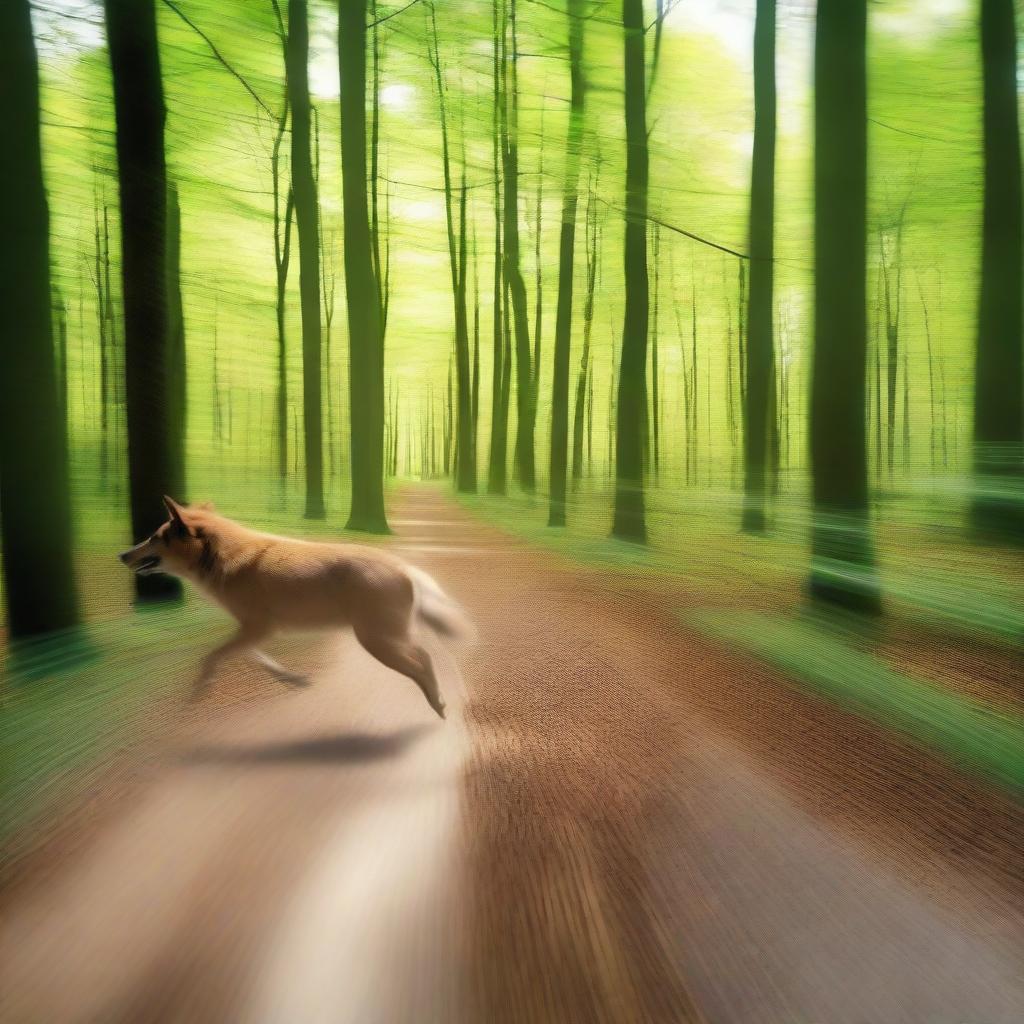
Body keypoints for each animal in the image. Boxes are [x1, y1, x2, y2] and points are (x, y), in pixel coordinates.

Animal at [118, 499, 468, 716]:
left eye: (154, 537)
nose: (122, 554)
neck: (220, 558)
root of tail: (404, 567)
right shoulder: (254, 631)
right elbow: (256, 658)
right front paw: (294, 679)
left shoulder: (258, 628)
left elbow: (212, 658)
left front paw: (198, 692)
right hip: (388, 638)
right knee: (430, 656)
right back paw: (446, 700)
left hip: (378, 642)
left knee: (422, 659)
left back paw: (437, 705)